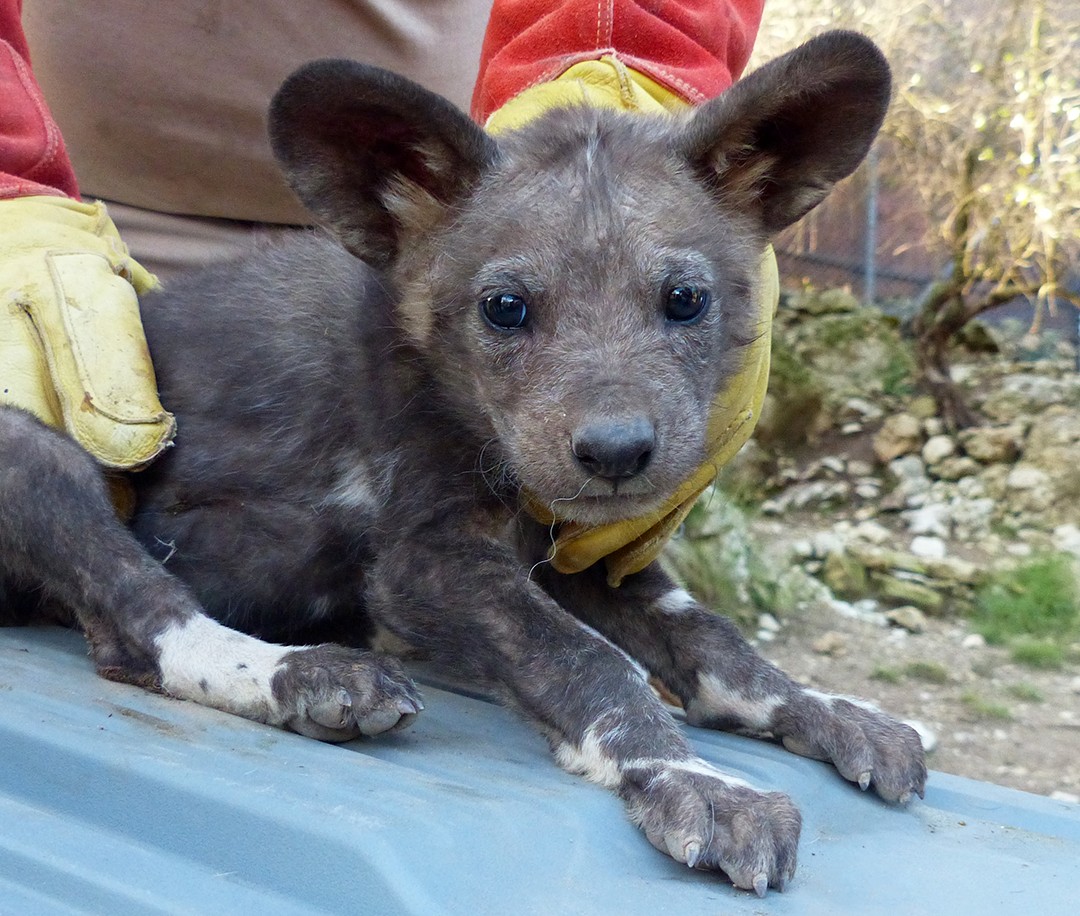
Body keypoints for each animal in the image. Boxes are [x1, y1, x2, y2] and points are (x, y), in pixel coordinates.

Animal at [2, 32, 928, 890]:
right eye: (506, 308)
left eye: (686, 300)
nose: (616, 451)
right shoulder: (427, 560)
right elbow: (587, 659)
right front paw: (688, 776)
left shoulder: (592, 556)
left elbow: (716, 642)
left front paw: (827, 709)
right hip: (48, 450)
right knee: (140, 621)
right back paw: (309, 674)